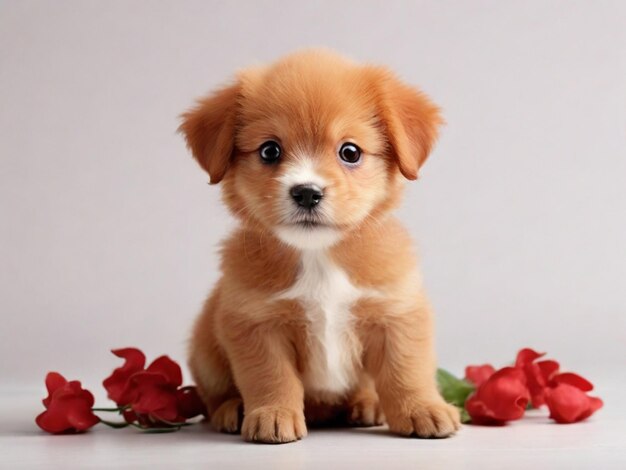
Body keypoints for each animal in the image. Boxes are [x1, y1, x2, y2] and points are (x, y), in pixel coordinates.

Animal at [179, 49, 458, 442]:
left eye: (350, 152)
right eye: (269, 151)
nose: (307, 192)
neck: (319, 257)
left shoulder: (397, 314)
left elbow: (406, 370)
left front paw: (422, 408)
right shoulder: (256, 325)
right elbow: (271, 377)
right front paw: (273, 414)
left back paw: (367, 405)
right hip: (205, 351)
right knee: (214, 396)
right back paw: (232, 409)